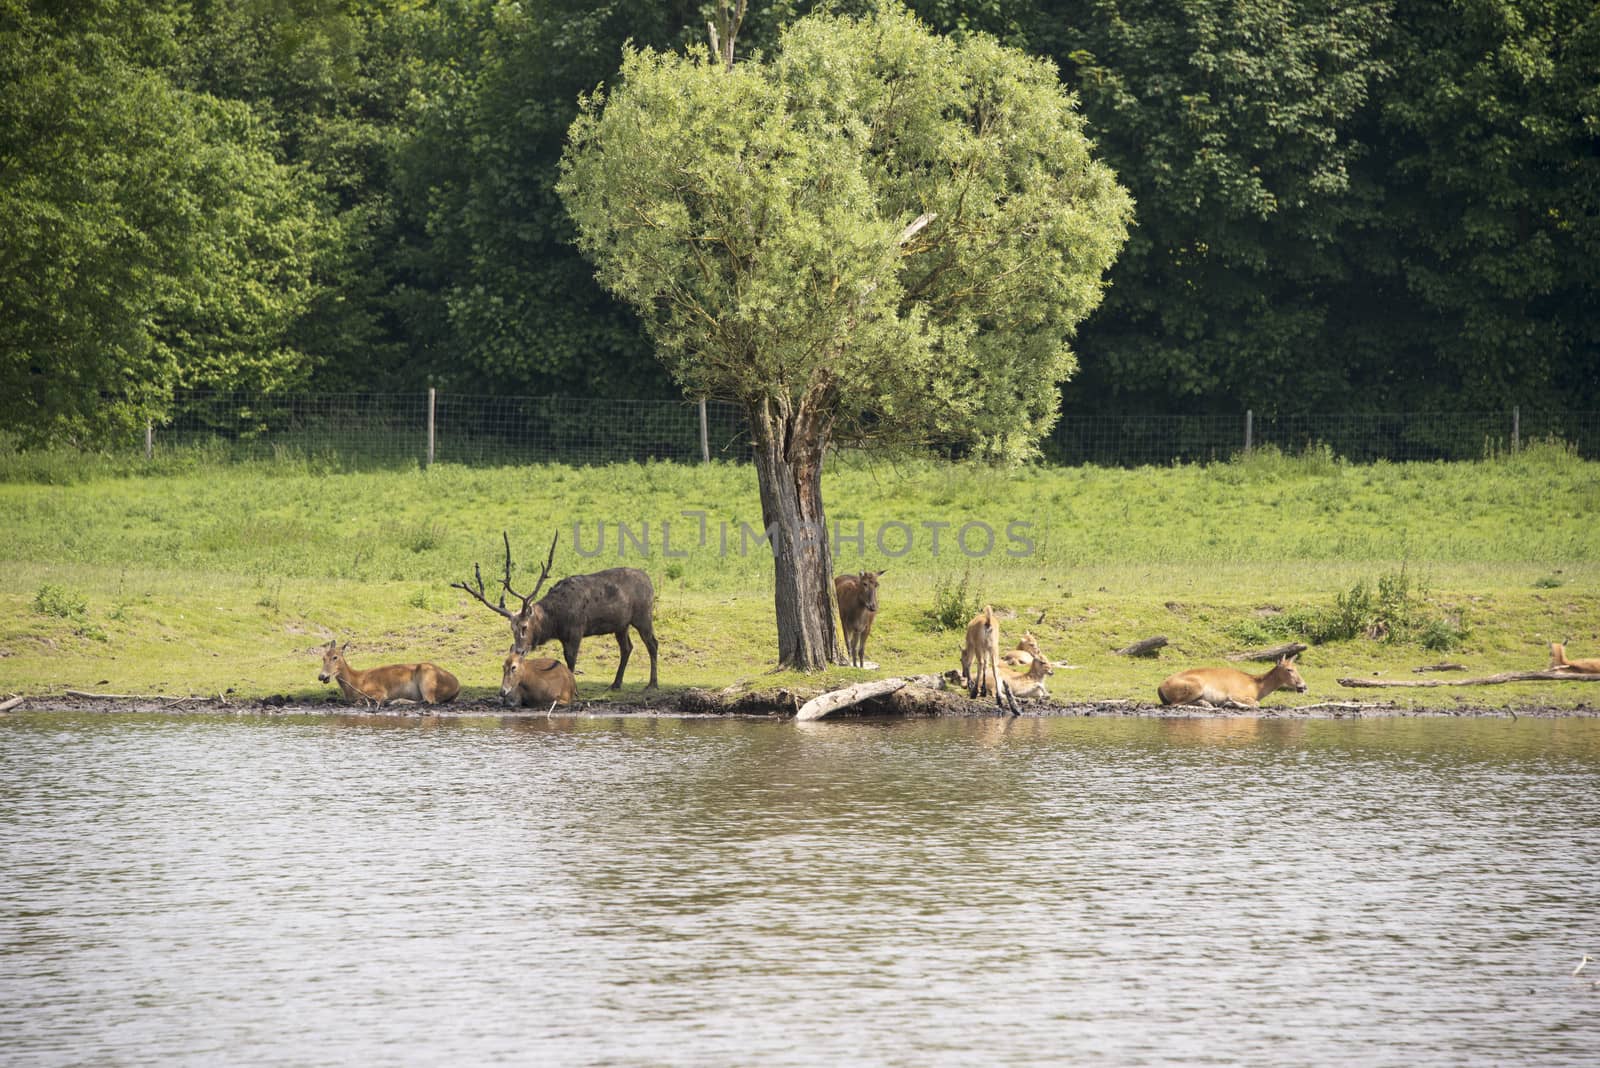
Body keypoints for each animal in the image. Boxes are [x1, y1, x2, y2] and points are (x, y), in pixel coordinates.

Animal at [315, 639, 460, 703]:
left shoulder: (379, 692)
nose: (321, 676)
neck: (356, 681)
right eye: (323, 657)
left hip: (427, 677)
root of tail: (457, 686)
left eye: (335, 657)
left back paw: (397, 701)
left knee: (428, 700)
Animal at [451, 534, 656, 693]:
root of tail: (650, 581)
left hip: (643, 616)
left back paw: (652, 684)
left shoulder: (576, 631)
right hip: (621, 625)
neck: (554, 622)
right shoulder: (565, 636)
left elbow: (571, 661)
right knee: (627, 647)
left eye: (524, 626)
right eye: (512, 628)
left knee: (652, 643)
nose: (519, 650)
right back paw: (616, 684)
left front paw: (573, 688)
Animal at [1158, 652, 1305, 709]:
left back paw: (1205, 703)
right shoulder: (1235, 693)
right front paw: (1229, 703)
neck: (1257, 687)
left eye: (1296, 668)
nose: (1303, 686)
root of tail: (1160, 687)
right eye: (1289, 669)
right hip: (1196, 687)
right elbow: (1255, 703)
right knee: (1175, 704)